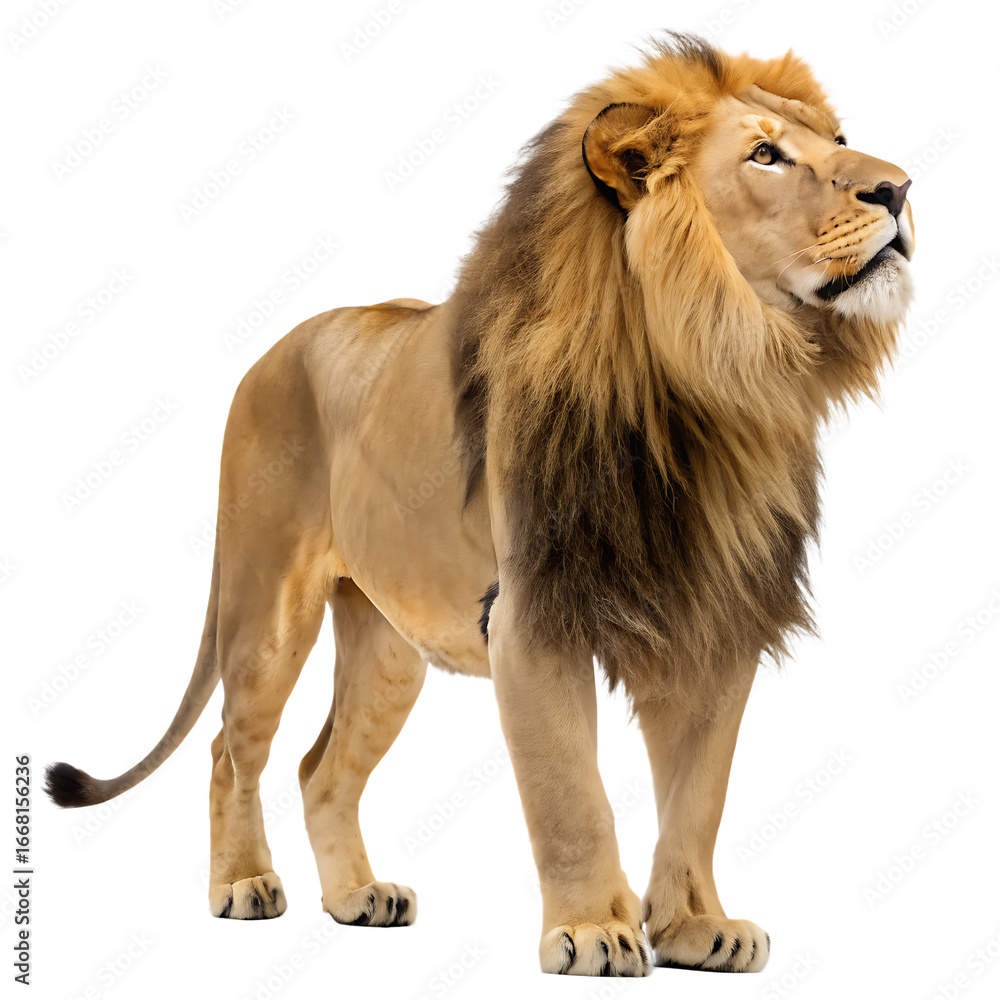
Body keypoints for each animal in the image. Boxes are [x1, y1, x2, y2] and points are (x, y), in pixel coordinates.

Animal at [45, 34, 914, 977]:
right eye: (765, 155)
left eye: (838, 139)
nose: (901, 187)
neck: (712, 382)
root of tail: (272, 350)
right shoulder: (533, 619)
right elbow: (572, 795)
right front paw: (593, 932)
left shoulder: (716, 619)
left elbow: (698, 797)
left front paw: (694, 928)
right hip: (266, 610)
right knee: (228, 750)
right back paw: (243, 884)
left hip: (391, 649)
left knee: (321, 768)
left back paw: (359, 896)